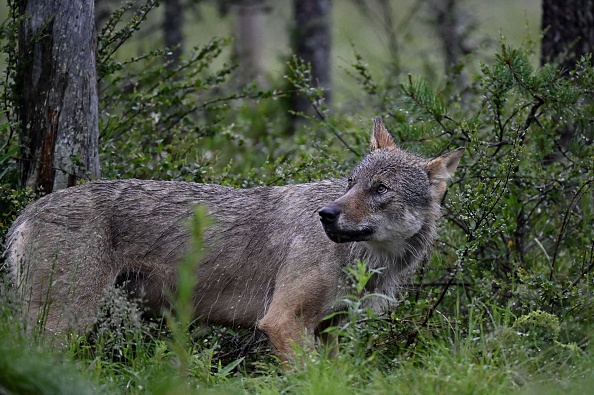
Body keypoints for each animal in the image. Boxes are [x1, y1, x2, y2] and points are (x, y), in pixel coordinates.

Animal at [4, 117, 462, 358]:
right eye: (351, 183)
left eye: (379, 189)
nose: (326, 214)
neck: (369, 262)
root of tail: (28, 210)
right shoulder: (283, 322)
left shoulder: (334, 330)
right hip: (63, 326)